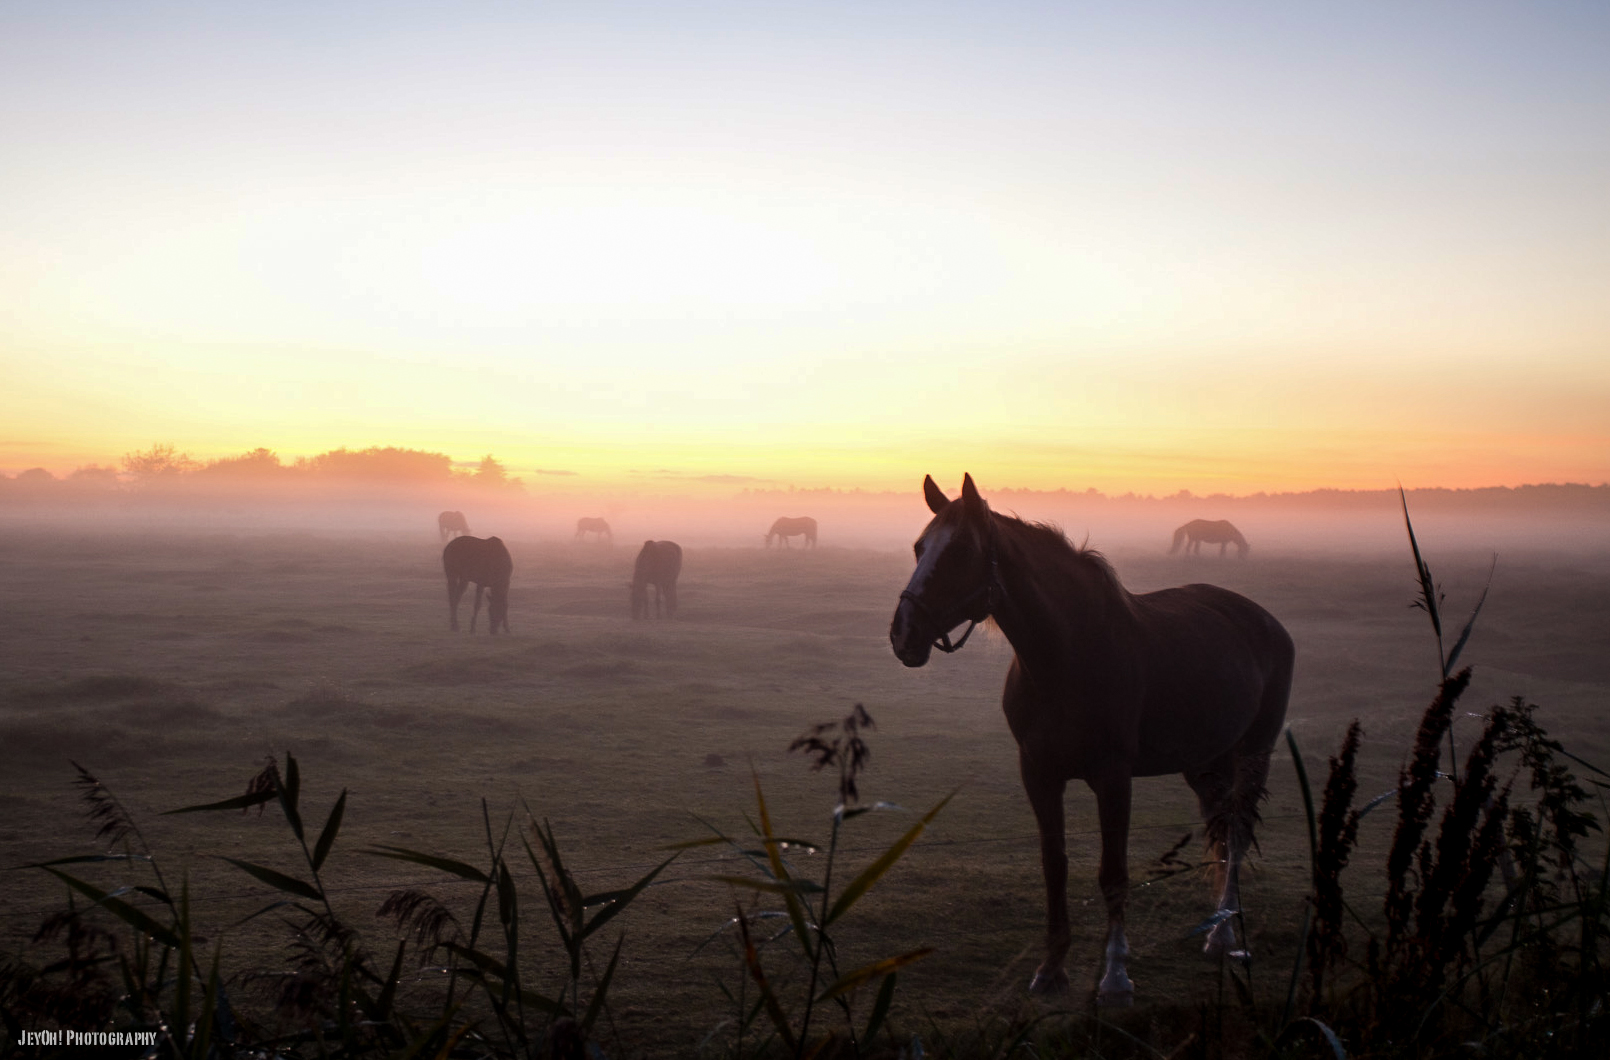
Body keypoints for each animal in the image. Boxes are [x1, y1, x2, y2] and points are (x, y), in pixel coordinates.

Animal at [888, 473, 1288, 1005]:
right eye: (920, 548)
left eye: (960, 552)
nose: (903, 634)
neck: (1069, 655)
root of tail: (1265, 622)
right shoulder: (1038, 774)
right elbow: (1054, 865)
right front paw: (1051, 969)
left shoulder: (1114, 779)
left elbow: (1113, 874)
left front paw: (1115, 977)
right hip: (1207, 763)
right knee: (1221, 831)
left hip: (1253, 755)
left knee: (1237, 834)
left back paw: (1222, 934)